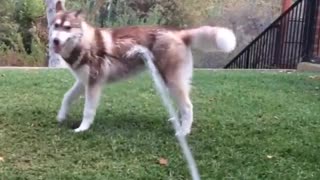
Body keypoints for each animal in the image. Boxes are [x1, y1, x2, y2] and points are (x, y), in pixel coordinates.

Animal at [51, 0, 236, 135]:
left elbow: (88, 110)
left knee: (188, 107)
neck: (85, 43)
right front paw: (61, 116)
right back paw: (177, 121)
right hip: (166, 80)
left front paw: (82, 128)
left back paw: (183, 132)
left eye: (67, 27)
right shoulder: (84, 81)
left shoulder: (94, 83)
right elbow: (67, 97)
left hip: (171, 81)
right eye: (55, 25)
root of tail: (179, 33)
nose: (55, 41)